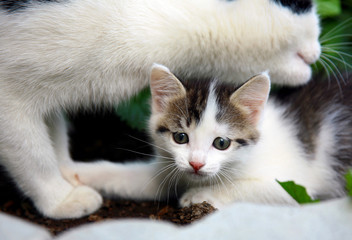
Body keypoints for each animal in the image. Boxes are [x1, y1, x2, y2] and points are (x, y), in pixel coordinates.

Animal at [0, 0, 322, 219]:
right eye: (301, 5)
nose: (319, 49)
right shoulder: (10, 90)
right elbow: (31, 150)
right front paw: (59, 198)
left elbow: (52, 128)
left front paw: (67, 171)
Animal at [64, 64, 352, 209]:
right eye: (180, 137)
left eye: (221, 143)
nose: (196, 163)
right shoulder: (170, 169)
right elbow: (130, 178)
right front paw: (76, 171)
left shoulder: (298, 185)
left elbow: (248, 187)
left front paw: (200, 195)